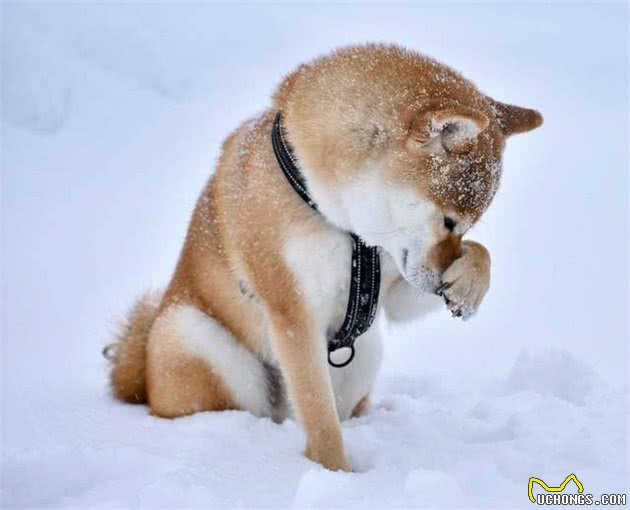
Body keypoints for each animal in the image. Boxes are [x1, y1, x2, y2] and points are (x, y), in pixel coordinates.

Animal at [108, 45, 544, 472]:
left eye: (468, 226)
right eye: (449, 221)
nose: (440, 284)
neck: (342, 223)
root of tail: (140, 380)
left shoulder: (391, 284)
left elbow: (482, 254)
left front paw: (468, 286)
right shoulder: (293, 310)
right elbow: (320, 418)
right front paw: (335, 473)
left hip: (366, 348)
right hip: (195, 336)